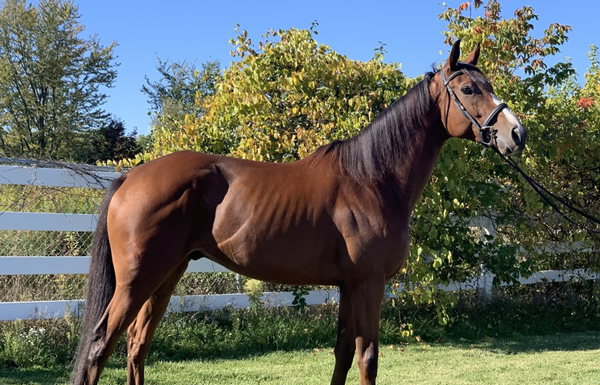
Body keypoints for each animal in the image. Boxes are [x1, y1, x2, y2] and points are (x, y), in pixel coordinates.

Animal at [72, 40, 528, 382]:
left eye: (487, 84)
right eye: (468, 90)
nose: (516, 134)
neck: (372, 178)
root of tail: (131, 177)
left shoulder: (349, 285)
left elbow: (343, 353)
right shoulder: (369, 283)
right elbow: (368, 358)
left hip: (167, 274)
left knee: (136, 345)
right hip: (137, 281)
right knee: (99, 347)